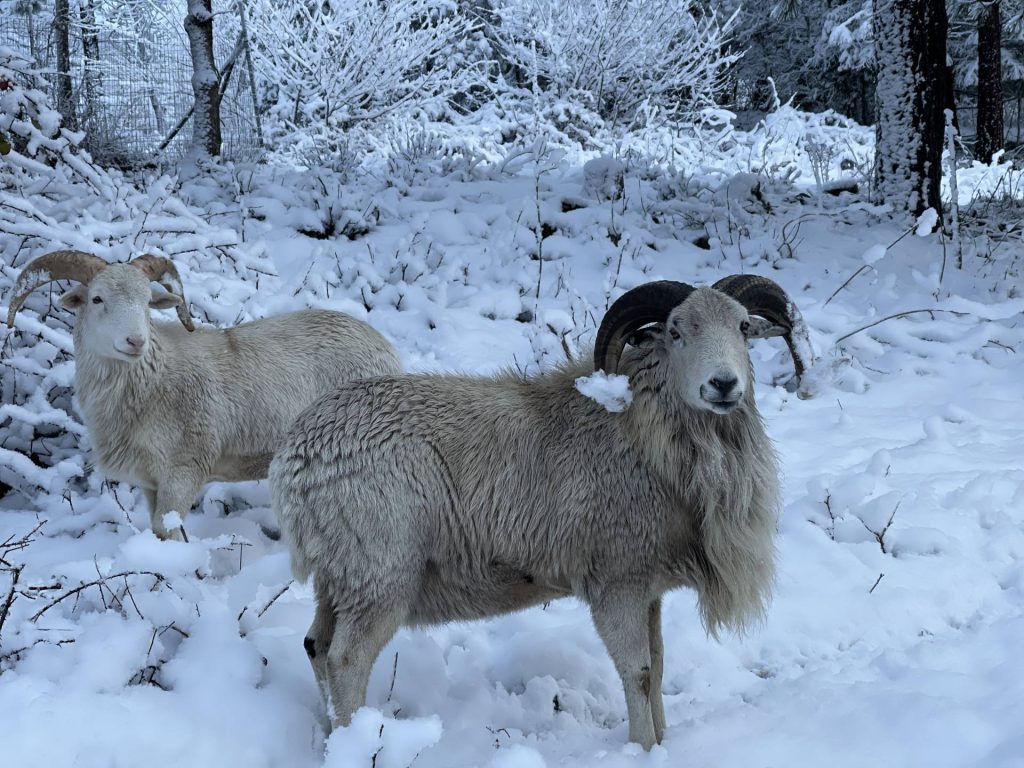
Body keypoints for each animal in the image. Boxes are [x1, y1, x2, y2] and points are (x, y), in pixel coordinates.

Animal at [6, 249, 401, 540]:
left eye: (147, 301)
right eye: (97, 299)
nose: (136, 341)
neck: (153, 381)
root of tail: (385, 347)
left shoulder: (184, 472)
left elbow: (167, 531)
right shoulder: (151, 481)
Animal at [269, 274, 811, 749]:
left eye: (742, 327)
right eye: (676, 331)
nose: (724, 384)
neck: (642, 434)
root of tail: (295, 457)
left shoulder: (649, 586)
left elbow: (658, 669)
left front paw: (663, 741)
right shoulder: (616, 583)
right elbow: (637, 673)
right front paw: (642, 748)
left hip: (340, 577)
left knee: (316, 645)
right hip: (379, 576)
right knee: (345, 661)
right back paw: (357, 743)